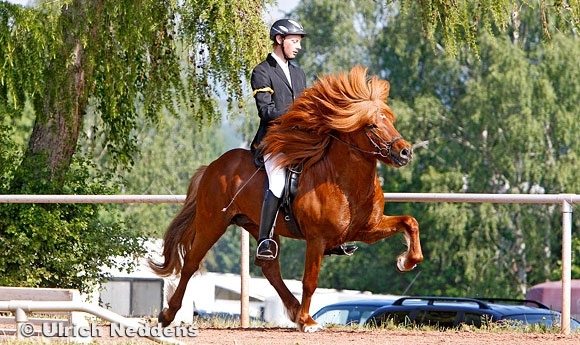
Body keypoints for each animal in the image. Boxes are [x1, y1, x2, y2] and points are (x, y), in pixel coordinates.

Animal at [147, 66, 424, 332]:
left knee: (269, 268)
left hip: (259, 226)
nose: (405, 152)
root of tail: (213, 166)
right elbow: (310, 281)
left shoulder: (366, 229)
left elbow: (410, 222)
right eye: (371, 126)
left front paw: (406, 261)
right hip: (212, 223)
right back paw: (167, 315)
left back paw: (292, 309)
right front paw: (308, 322)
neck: (344, 183)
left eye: (390, 120)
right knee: (191, 264)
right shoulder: (317, 239)